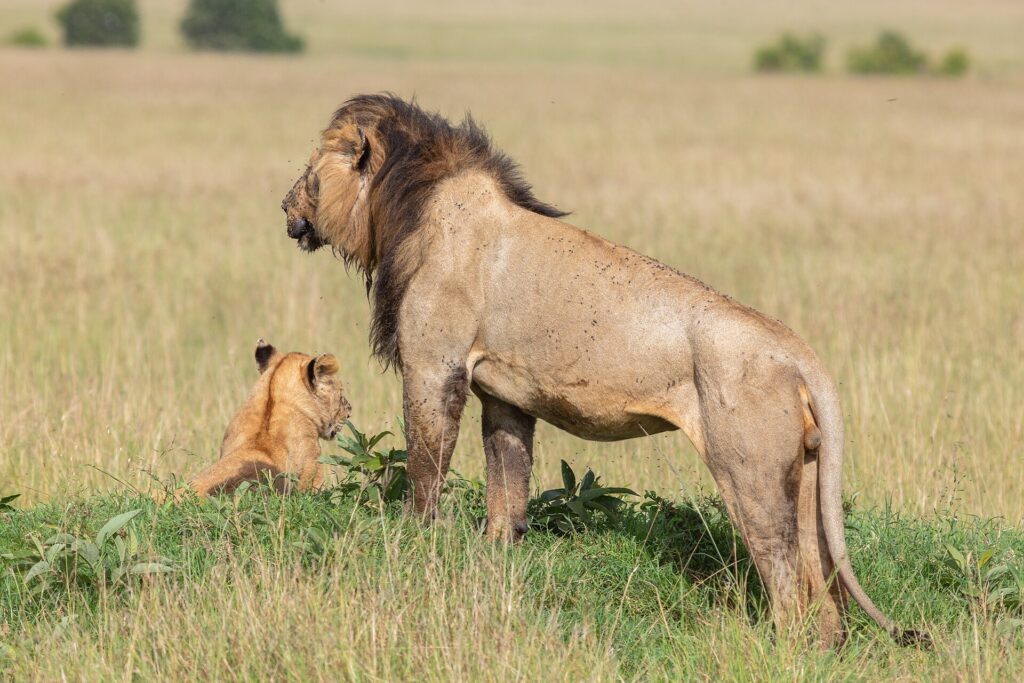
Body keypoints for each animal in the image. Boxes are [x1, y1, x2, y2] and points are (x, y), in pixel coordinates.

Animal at [280, 94, 927, 647]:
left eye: (311, 171)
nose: (285, 207)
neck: (406, 206)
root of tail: (800, 353)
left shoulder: (434, 365)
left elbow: (426, 463)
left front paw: (417, 541)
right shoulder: (504, 396)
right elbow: (507, 489)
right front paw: (497, 561)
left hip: (751, 473)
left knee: (786, 573)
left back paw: (785, 650)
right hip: (807, 474)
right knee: (822, 581)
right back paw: (825, 648)